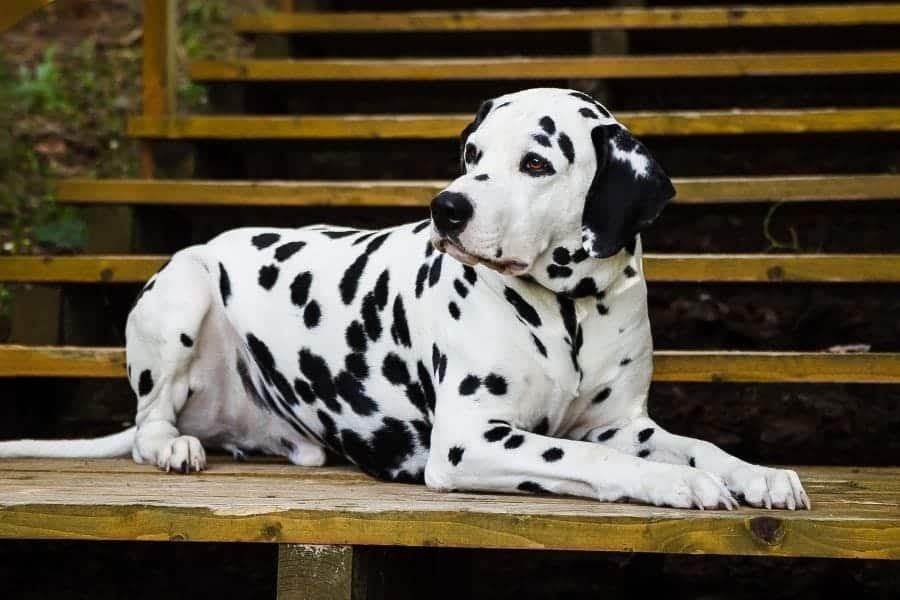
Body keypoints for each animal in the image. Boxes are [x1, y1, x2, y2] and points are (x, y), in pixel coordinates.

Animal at [0, 88, 812, 510]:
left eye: (536, 162)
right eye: (472, 154)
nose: (447, 207)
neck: (570, 309)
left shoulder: (624, 425)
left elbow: (697, 444)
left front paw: (753, 471)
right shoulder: (471, 441)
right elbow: (596, 462)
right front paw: (681, 483)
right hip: (184, 288)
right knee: (147, 425)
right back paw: (173, 444)